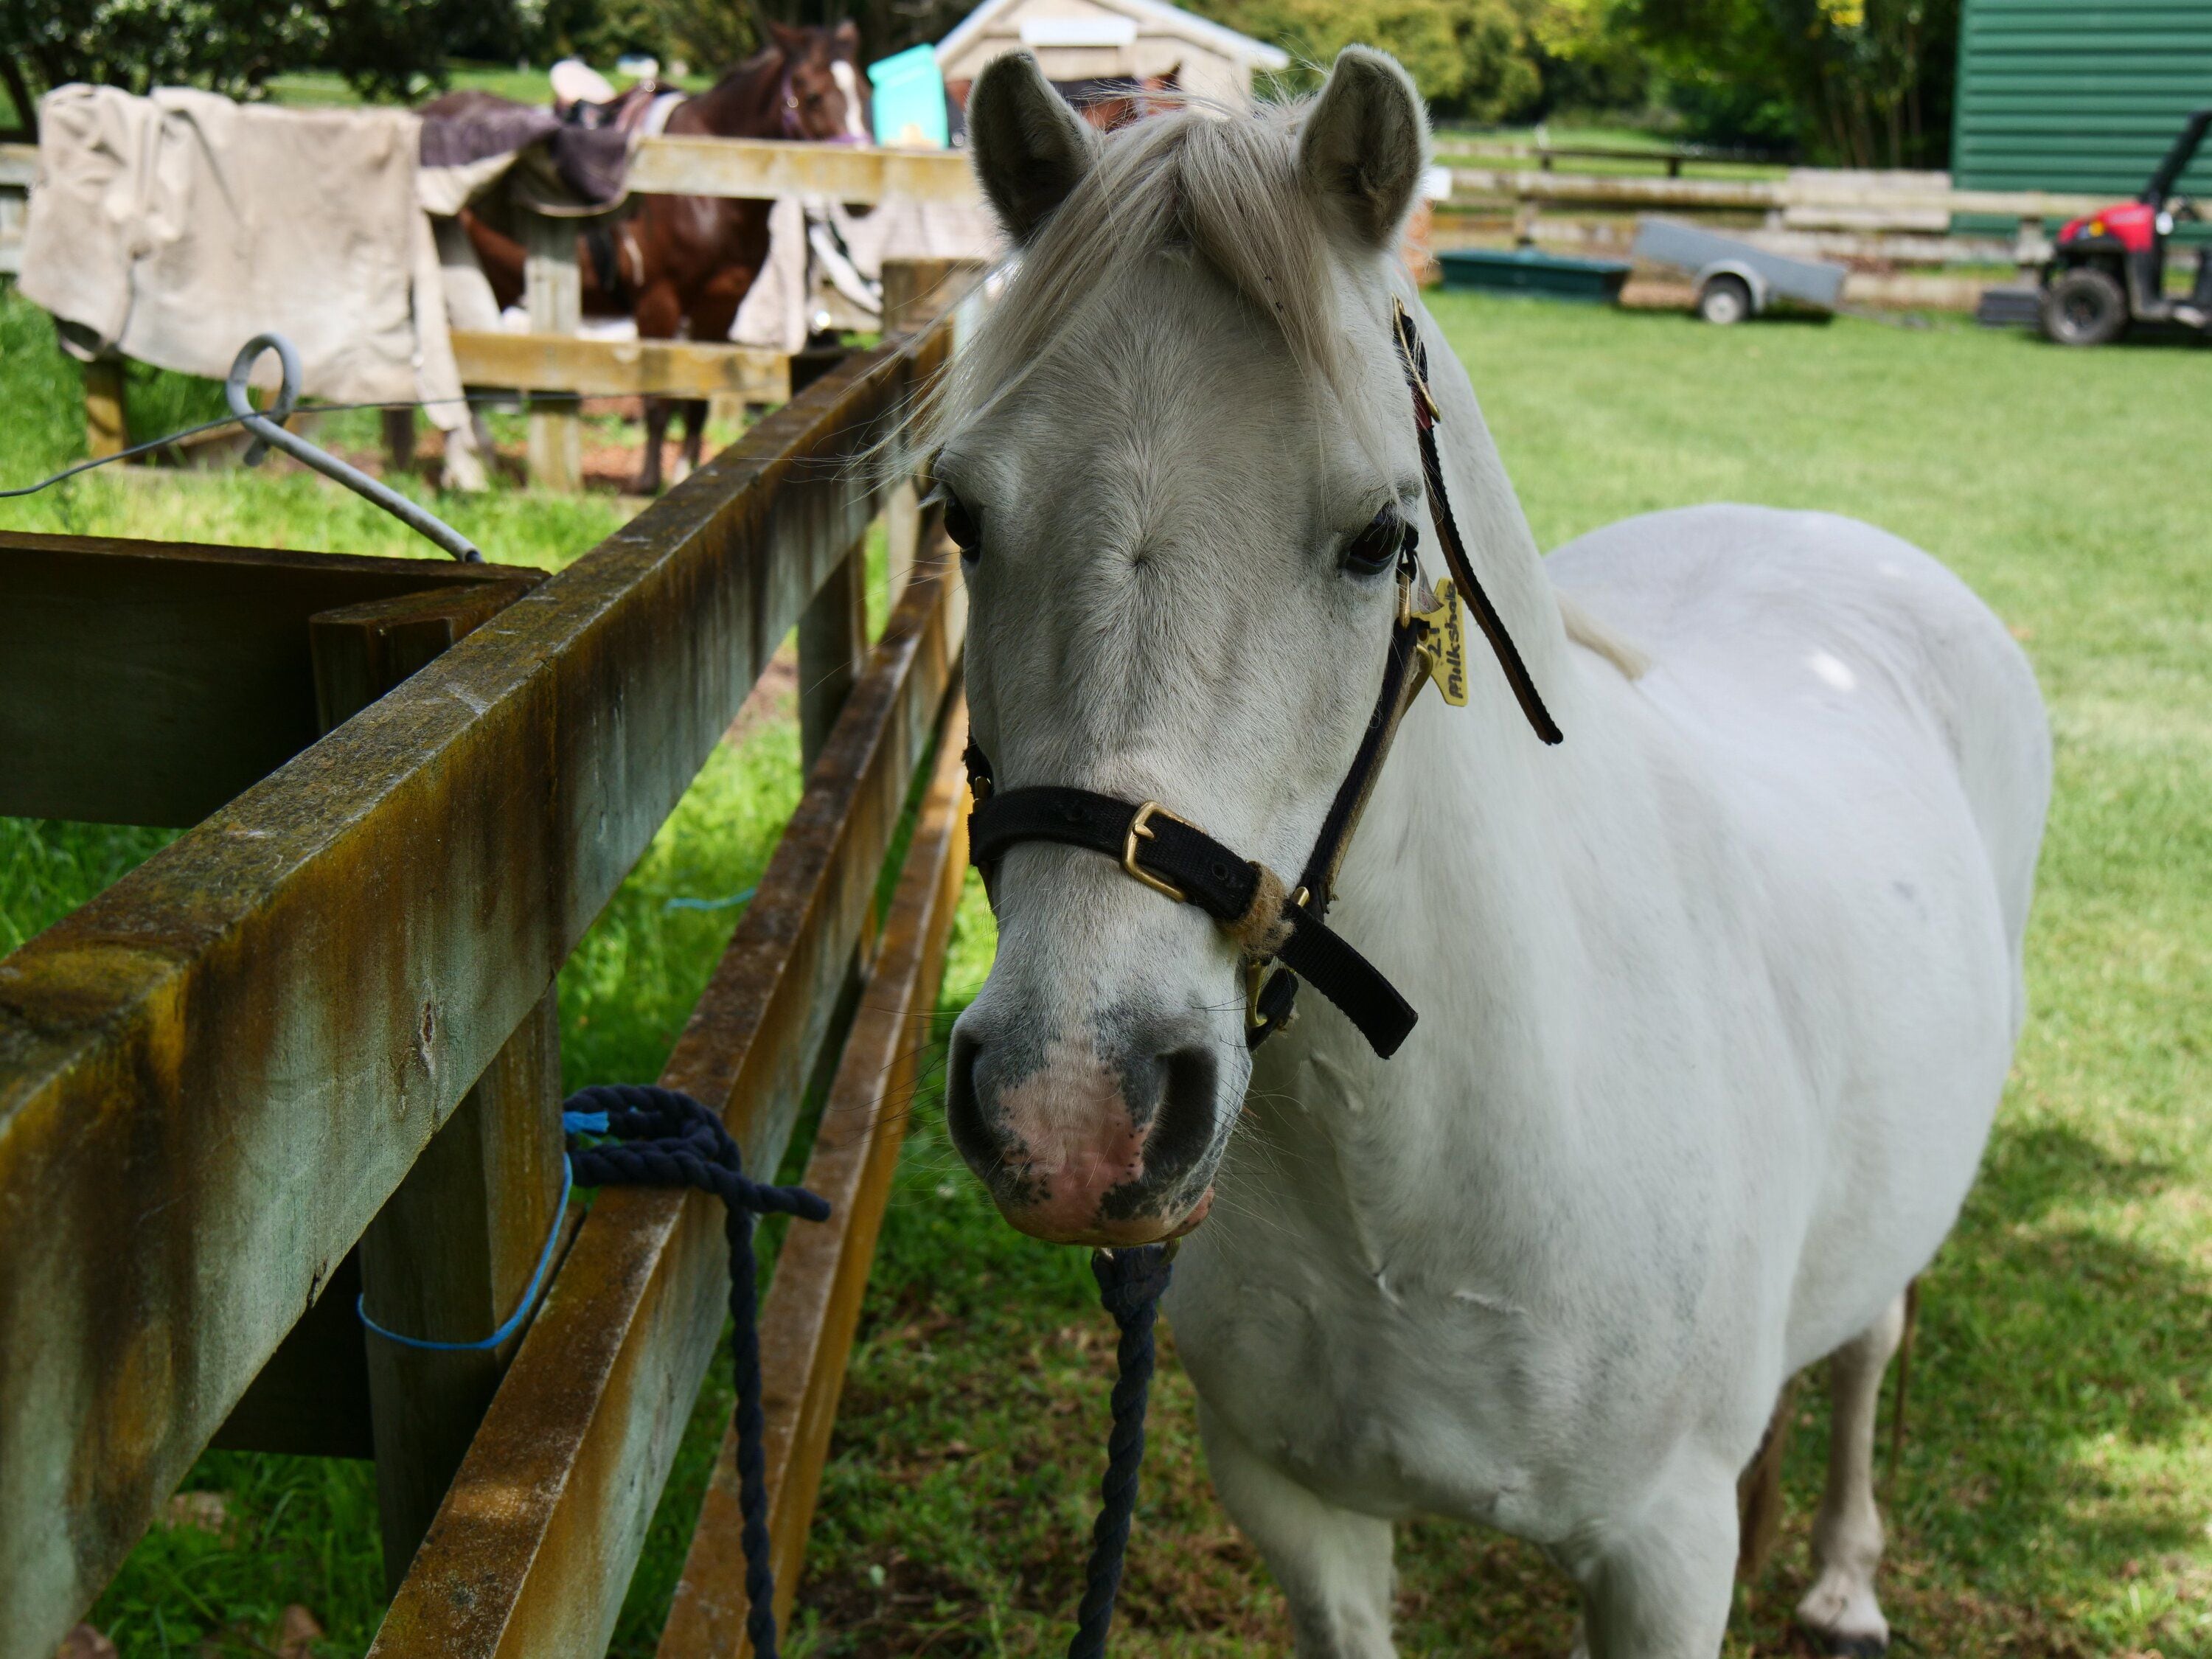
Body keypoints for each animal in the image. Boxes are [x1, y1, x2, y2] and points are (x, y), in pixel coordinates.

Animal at [458, 22, 863, 491]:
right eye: (813, 94)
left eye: (864, 88)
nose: (857, 197)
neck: (706, 186)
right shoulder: (658, 303)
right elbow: (658, 397)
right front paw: (648, 482)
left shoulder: (720, 306)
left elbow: (698, 398)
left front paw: (687, 469)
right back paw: (469, 471)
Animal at [933, 45, 2053, 1655]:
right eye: (962, 515)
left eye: (1374, 536)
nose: (1072, 1113)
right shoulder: (1299, 1505)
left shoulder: (1661, 1556)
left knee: (1868, 1345)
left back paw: (1846, 1577)